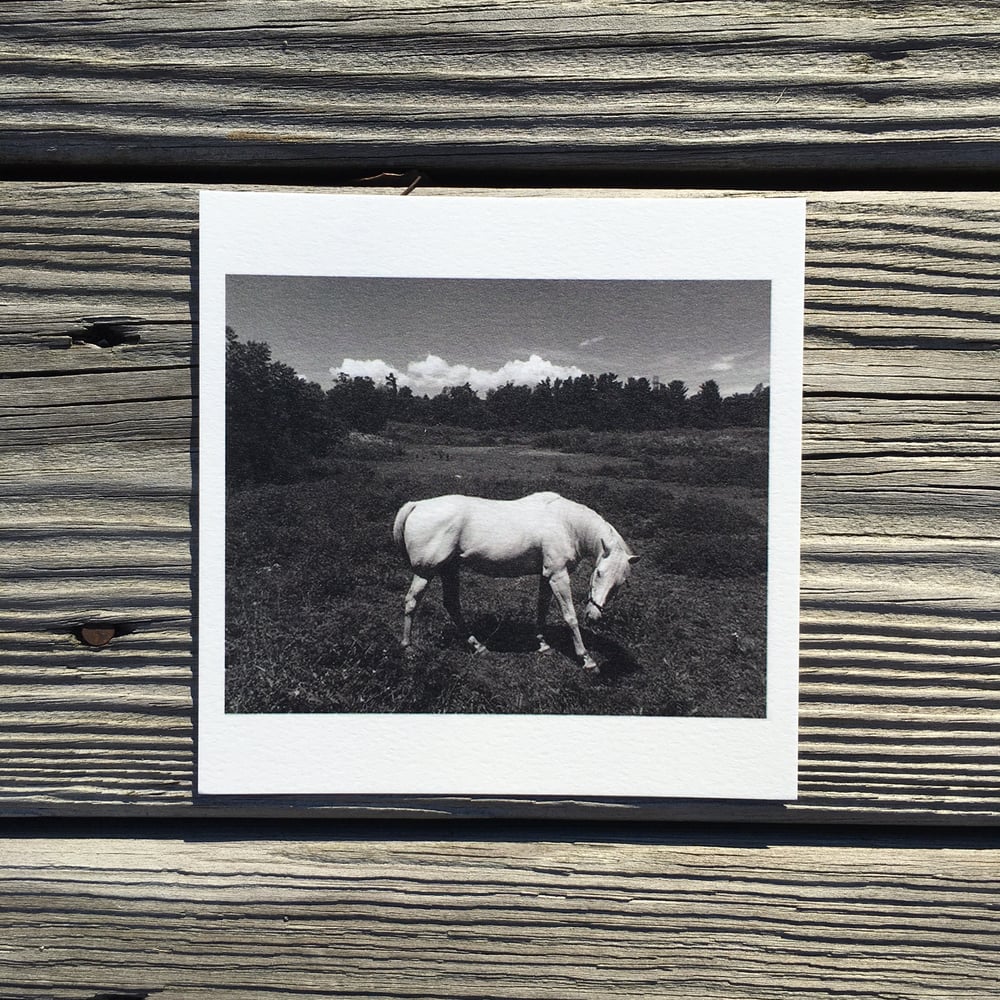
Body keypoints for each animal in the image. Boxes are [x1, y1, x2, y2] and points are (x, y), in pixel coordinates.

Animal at [392, 492, 636, 672]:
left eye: (620, 584)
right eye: (599, 573)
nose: (593, 616)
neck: (566, 523)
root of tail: (416, 505)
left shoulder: (547, 575)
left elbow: (541, 609)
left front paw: (543, 644)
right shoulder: (558, 575)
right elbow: (570, 617)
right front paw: (587, 660)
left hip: (449, 569)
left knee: (452, 604)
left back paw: (478, 646)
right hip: (426, 573)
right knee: (412, 602)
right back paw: (407, 648)